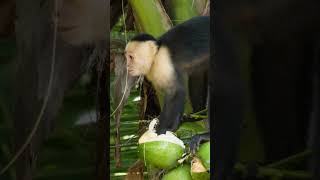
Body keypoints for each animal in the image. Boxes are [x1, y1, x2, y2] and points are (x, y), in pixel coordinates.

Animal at [123, 15, 210, 152]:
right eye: (126, 57)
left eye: (131, 57)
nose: (127, 66)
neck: (156, 54)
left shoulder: (163, 63)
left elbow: (175, 92)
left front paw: (163, 129)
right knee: (197, 75)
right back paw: (199, 114)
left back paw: (206, 135)